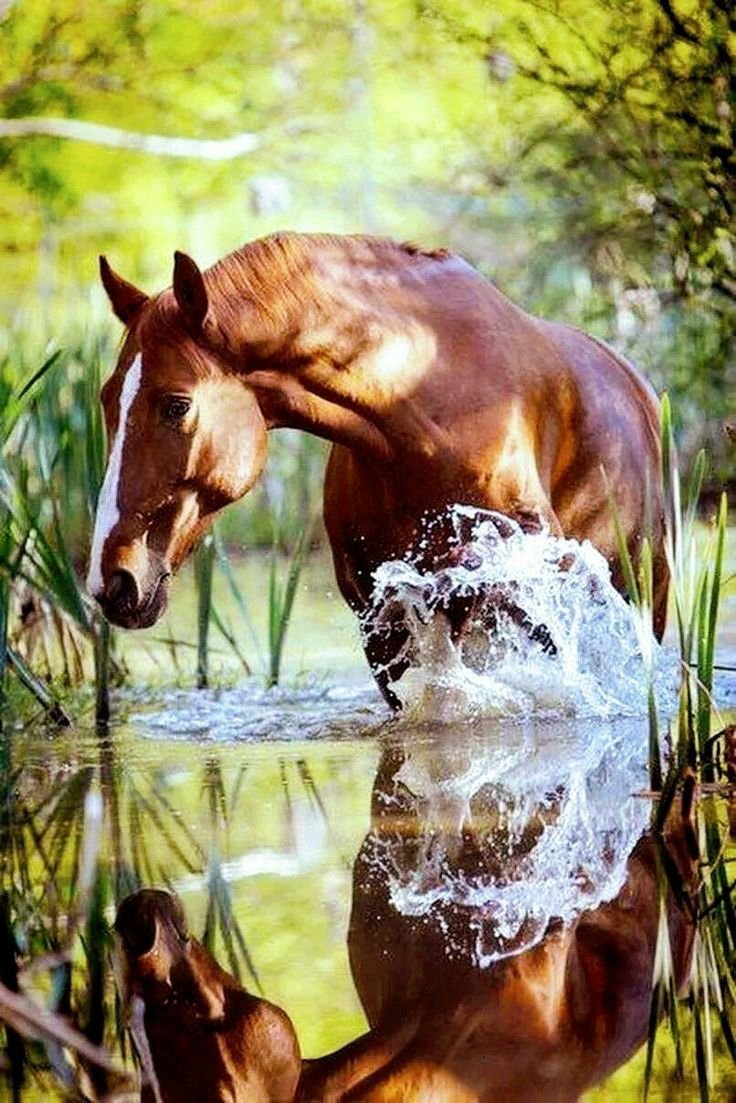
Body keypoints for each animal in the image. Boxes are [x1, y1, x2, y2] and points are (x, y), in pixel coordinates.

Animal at [88, 233, 667, 702]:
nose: (110, 580)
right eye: (106, 399)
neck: (419, 412)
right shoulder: (375, 623)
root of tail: (635, 385)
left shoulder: (527, 562)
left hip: (645, 594)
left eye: (176, 405)